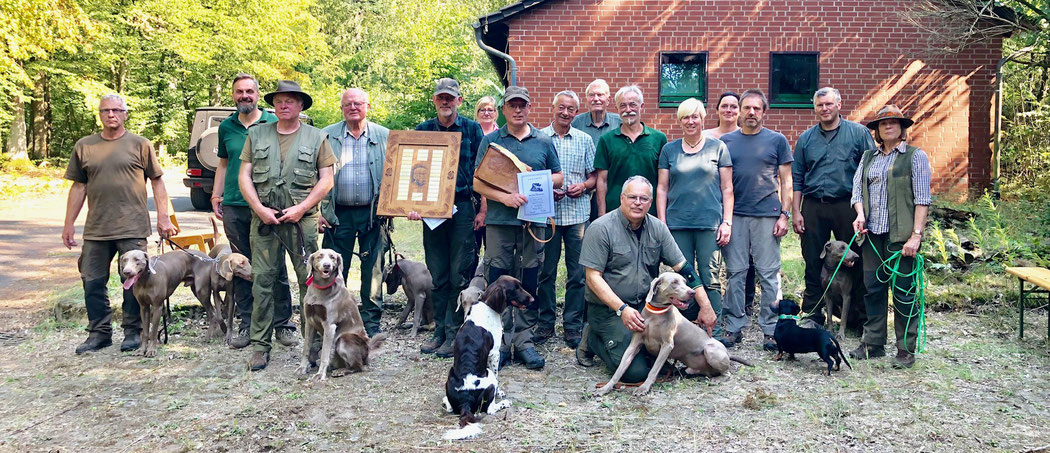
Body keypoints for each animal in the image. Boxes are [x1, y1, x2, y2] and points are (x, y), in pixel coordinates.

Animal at [300, 250, 386, 380]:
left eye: (333, 257)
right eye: (320, 256)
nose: (327, 265)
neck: (321, 288)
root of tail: (368, 350)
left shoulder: (330, 326)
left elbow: (325, 352)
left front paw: (320, 374)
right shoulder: (309, 322)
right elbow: (306, 348)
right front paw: (302, 368)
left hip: (344, 339)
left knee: (358, 366)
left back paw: (341, 371)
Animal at [440, 275, 533, 441]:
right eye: (516, 288)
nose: (533, 299)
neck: (487, 304)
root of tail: (465, 401)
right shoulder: (495, 353)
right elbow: (498, 377)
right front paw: (500, 393)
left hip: (450, 376)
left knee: (451, 408)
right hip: (488, 377)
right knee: (489, 408)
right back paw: (504, 403)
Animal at [596, 273, 751, 397]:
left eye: (685, 281)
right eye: (674, 282)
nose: (692, 292)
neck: (655, 314)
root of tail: (727, 353)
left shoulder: (667, 345)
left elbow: (653, 370)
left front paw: (643, 388)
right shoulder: (634, 345)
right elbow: (619, 369)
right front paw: (605, 387)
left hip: (711, 350)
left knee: (727, 373)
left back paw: (716, 379)